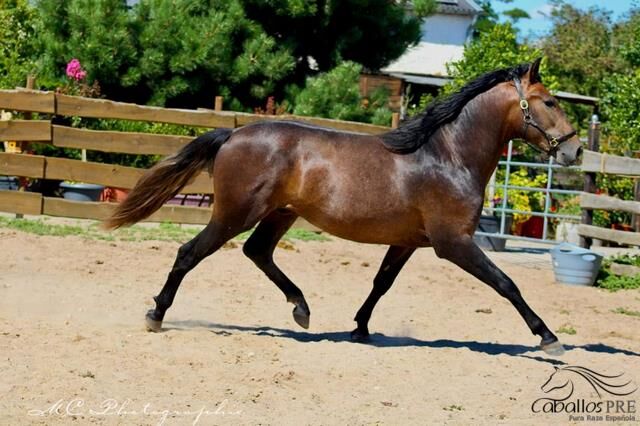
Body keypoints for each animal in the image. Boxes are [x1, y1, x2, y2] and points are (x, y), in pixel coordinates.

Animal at [106, 57, 584, 356]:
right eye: (549, 101)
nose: (575, 150)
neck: (446, 155)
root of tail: (233, 134)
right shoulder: (454, 243)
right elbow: (507, 284)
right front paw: (548, 337)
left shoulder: (409, 242)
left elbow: (381, 283)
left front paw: (360, 328)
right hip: (234, 214)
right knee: (190, 252)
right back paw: (156, 314)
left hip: (280, 214)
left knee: (257, 252)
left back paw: (301, 310)